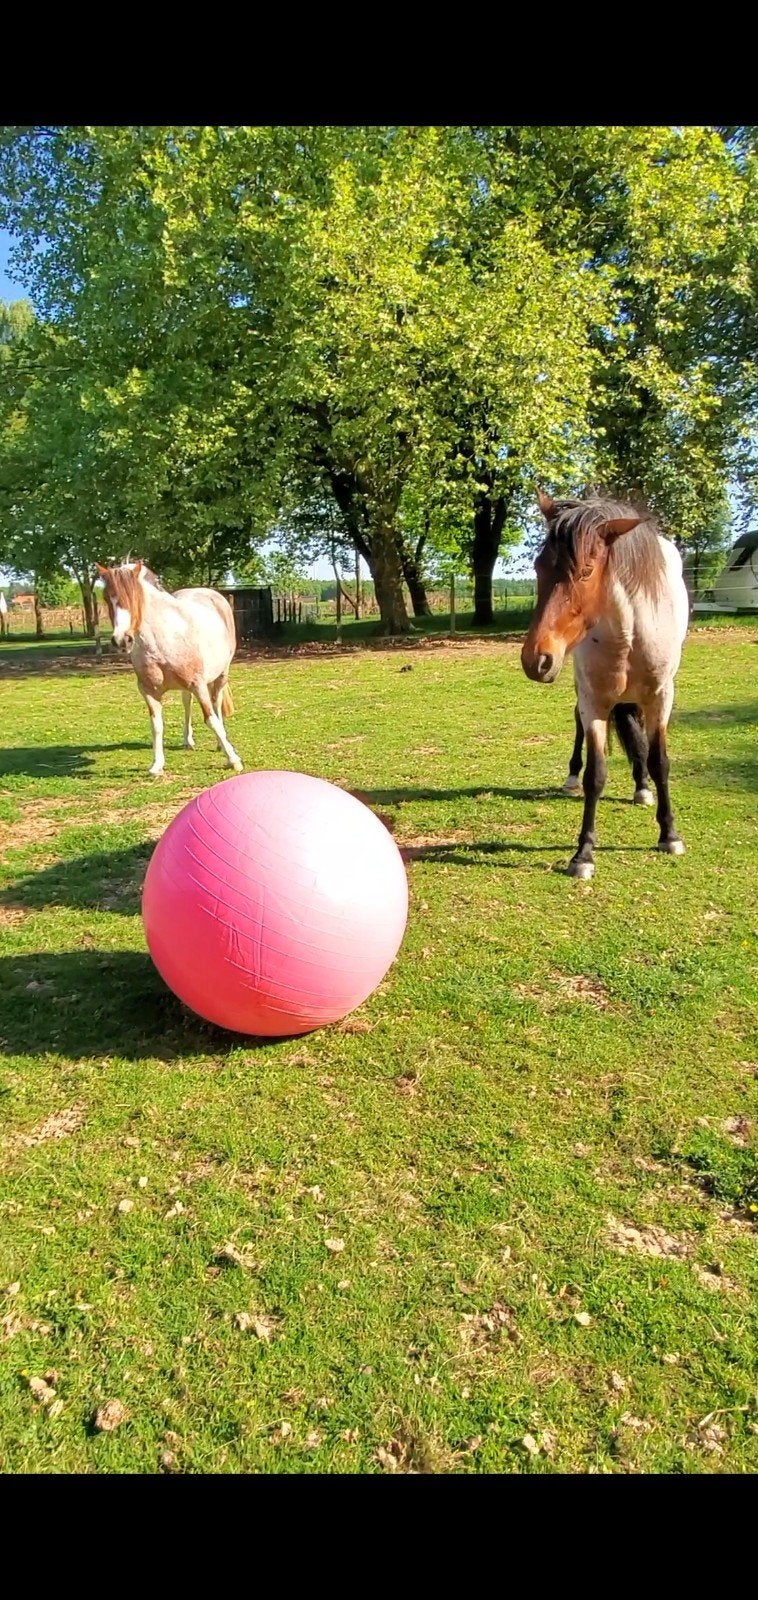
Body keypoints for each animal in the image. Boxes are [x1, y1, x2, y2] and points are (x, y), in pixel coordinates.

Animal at [96, 561, 243, 778]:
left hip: (221, 675)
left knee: (217, 704)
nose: (122, 640)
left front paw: (233, 760)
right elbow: (156, 726)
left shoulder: (198, 684)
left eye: (134, 596)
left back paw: (220, 743)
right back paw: (187, 740)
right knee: (187, 703)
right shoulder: (149, 691)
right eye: (107, 598)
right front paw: (157, 765)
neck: (161, 641)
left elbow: (211, 720)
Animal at [521, 492, 689, 879]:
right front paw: (583, 854)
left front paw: (669, 835)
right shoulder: (594, 700)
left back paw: (642, 788)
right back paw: (572, 777)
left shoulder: (661, 698)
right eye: (538, 568)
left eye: (585, 571)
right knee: (578, 725)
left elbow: (659, 761)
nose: (536, 660)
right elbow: (595, 776)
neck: (629, 633)